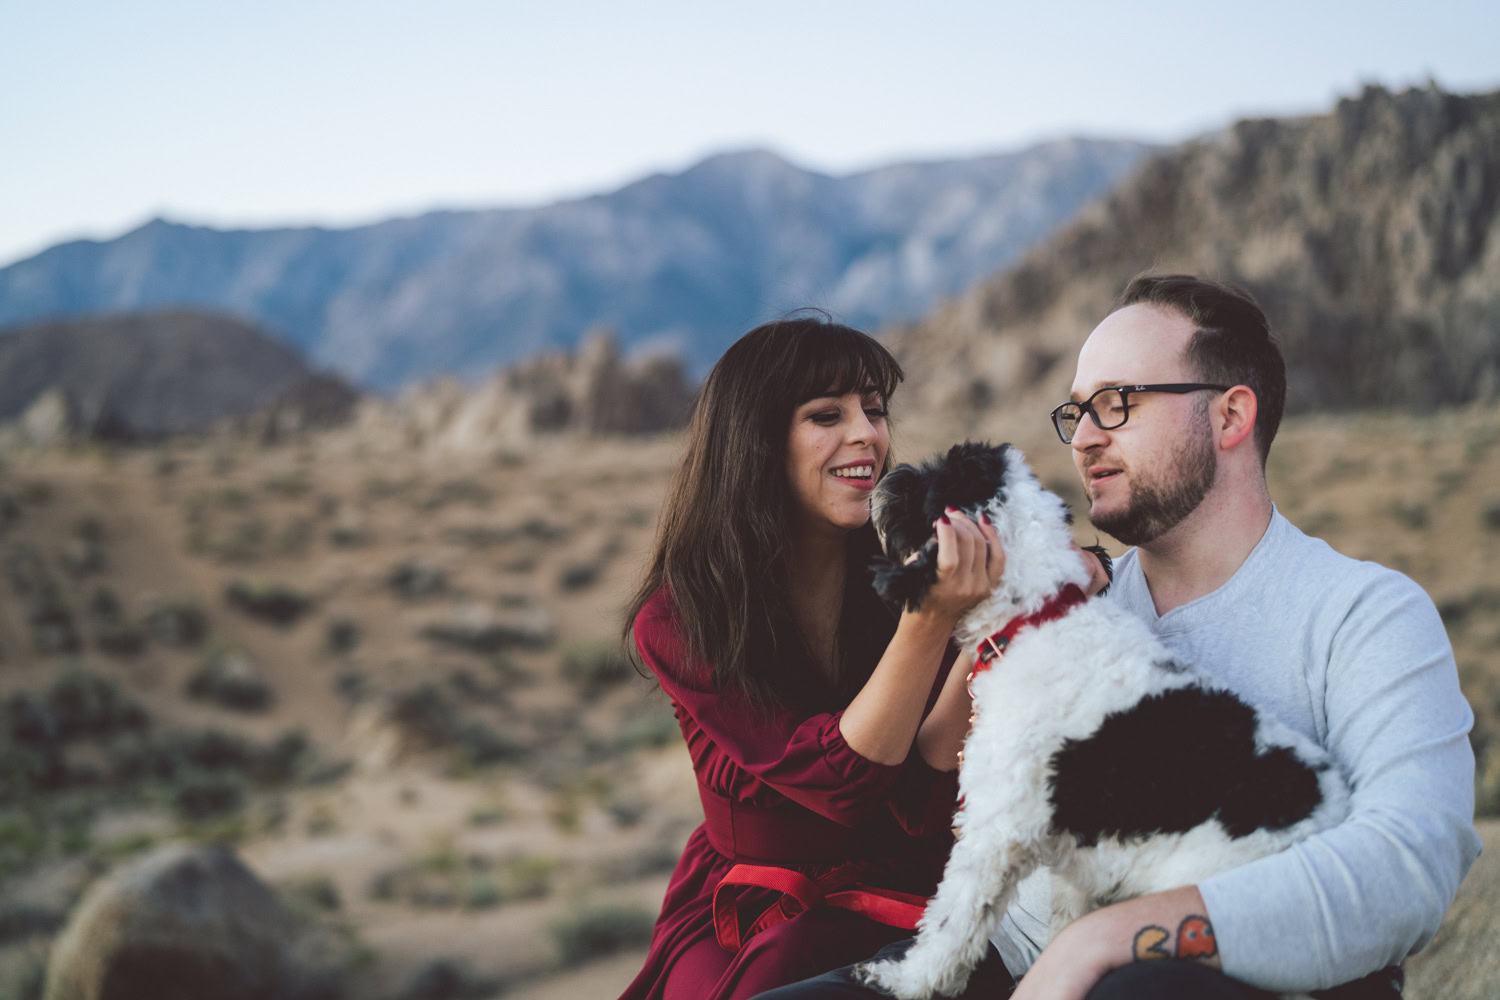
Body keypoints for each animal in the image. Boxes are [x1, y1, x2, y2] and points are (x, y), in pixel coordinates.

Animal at [858, 443, 1350, 1000]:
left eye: (936, 480)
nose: (888, 477)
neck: (1037, 619)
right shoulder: (1080, 861)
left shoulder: (997, 830)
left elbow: (952, 921)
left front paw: (906, 979)